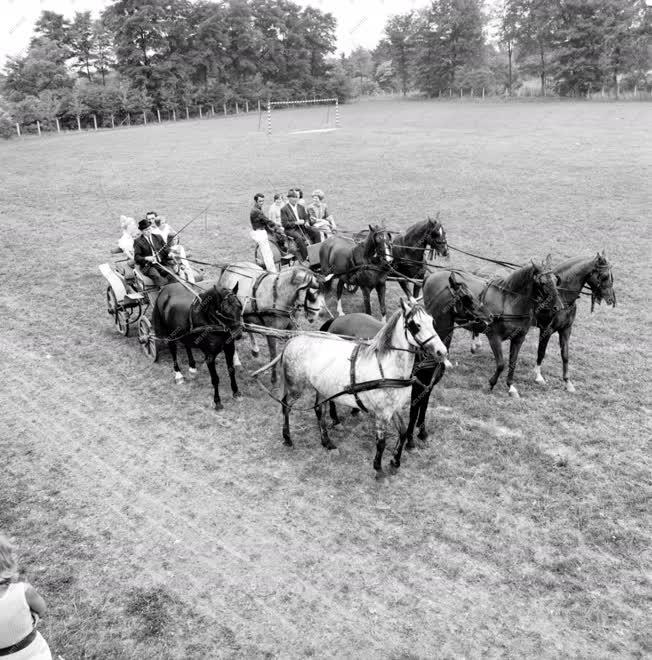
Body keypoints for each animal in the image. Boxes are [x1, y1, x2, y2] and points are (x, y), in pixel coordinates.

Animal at [152, 282, 243, 410]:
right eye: (224, 310)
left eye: (240, 306)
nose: (238, 334)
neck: (210, 320)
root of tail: (164, 289)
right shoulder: (209, 355)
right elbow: (215, 379)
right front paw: (217, 402)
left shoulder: (229, 348)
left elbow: (231, 371)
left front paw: (236, 393)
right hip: (170, 333)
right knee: (173, 350)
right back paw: (178, 374)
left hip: (184, 332)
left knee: (187, 344)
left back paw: (192, 368)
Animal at [274, 298, 448, 474]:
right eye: (415, 324)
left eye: (432, 321)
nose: (442, 351)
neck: (387, 368)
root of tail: (294, 339)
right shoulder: (382, 413)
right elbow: (381, 442)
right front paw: (378, 469)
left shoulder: (395, 408)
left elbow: (404, 432)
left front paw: (395, 461)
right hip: (296, 387)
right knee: (286, 406)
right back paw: (287, 438)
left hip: (323, 387)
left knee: (318, 409)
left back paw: (327, 442)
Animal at [464, 254, 564, 398]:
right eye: (543, 283)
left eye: (556, 280)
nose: (559, 307)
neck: (510, 305)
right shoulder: (494, 337)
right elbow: (501, 364)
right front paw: (491, 384)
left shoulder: (518, 339)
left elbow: (512, 363)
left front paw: (511, 387)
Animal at [532, 250, 612, 390]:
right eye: (605, 276)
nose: (611, 299)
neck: (562, 298)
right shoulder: (546, 330)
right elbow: (541, 352)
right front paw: (538, 376)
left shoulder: (566, 329)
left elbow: (565, 355)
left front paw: (567, 382)